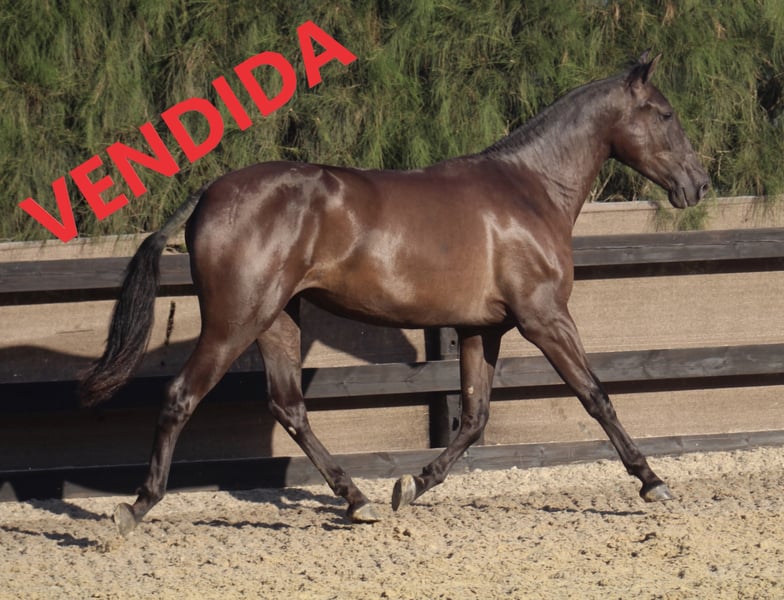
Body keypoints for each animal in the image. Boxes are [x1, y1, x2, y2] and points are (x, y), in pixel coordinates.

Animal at [80, 52, 710, 535]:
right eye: (666, 113)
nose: (698, 185)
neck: (529, 191)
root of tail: (208, 193)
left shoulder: (481, 328)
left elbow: (474, 417)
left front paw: (411, 486)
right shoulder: (545, 318)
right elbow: (596, 396)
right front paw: (653, 482)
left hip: (278, 318)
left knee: (289, 406)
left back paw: (358, 501)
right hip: (236, 320)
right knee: (182, 396)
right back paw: (135, 509)